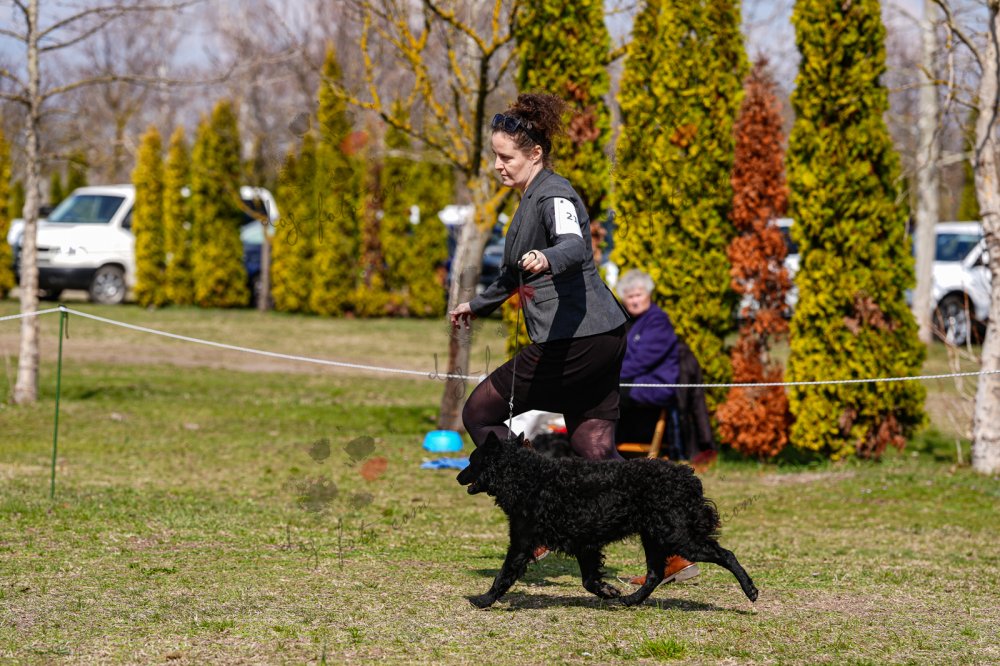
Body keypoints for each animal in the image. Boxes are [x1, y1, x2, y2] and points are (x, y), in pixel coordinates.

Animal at [456, 432, 758, 608]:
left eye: (472, 460)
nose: (458, 476)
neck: (529, 478)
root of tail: (688, 477)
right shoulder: (584, 545)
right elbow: (589, 580)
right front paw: (608, 591)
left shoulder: (522, 542)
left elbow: (503, 574)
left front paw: (483, 600)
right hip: (654, 537)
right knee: (655, 574)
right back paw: (630, 600)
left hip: (678, 536)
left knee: (726, 554)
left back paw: (751, 590)